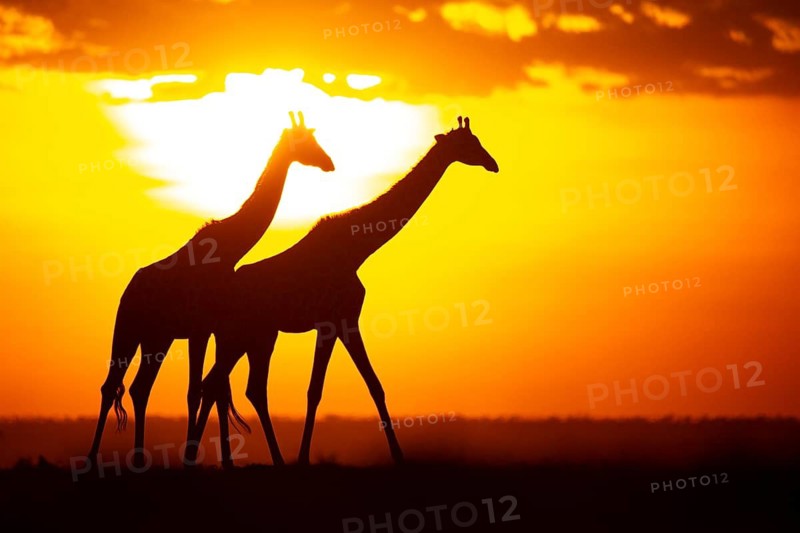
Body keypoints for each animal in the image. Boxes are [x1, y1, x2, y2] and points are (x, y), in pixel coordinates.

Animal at [87, 111, 335, 468]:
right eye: (306, 142)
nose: (329, 163)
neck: (232, 246)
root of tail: (127, 294)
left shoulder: (212, 328)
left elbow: (211, 388)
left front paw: (219, 459)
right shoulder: (202, 329)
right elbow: (198, 390)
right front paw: (194, 459)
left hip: (154, 339)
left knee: (137, 388)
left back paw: (138, 458)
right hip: (130, 332)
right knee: (114, 387)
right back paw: (95, 460)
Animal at [187, 116, 498, 467]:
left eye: (477, 140)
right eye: (468, 144)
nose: (493, 164)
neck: (356, 248)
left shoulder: (339, 323)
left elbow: (365, 386)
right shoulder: (338, 320)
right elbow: (321, 389)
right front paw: (311, 458)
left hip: (258, 337)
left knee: (235, 387)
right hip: (240, 336)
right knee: (217, 385)